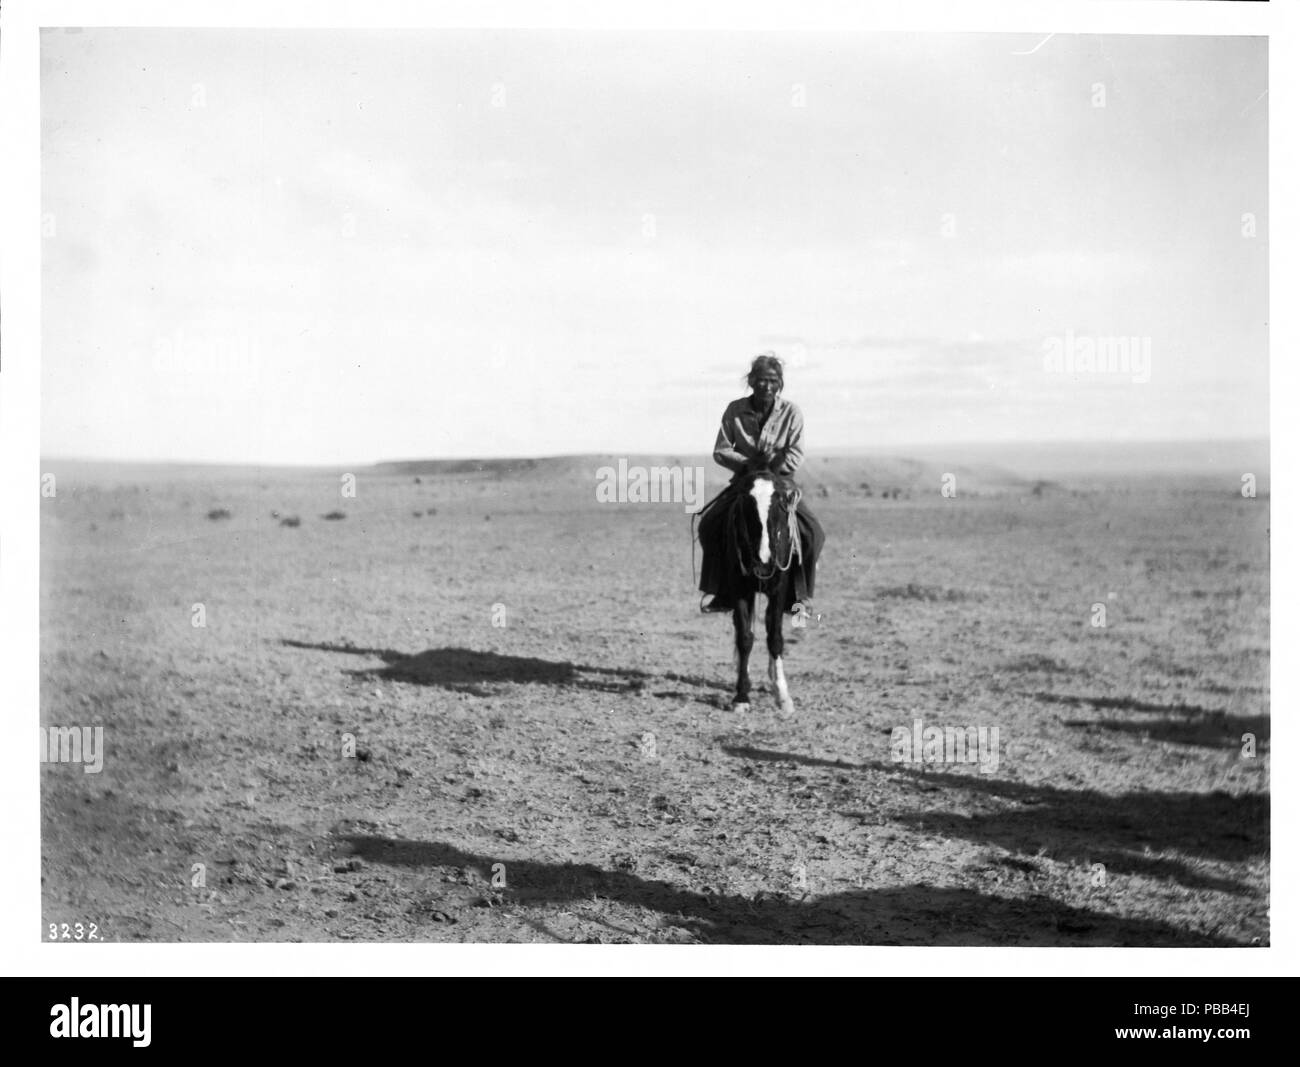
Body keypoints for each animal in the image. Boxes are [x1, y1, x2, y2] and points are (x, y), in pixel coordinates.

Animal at [696, 470, 806, 712]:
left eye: (779, 503)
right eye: (746, 503)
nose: (763, 564)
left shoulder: (778, 590)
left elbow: (775, 638)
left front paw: (783, 696)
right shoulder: (740, 591)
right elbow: (745, 638)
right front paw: (741, 696)